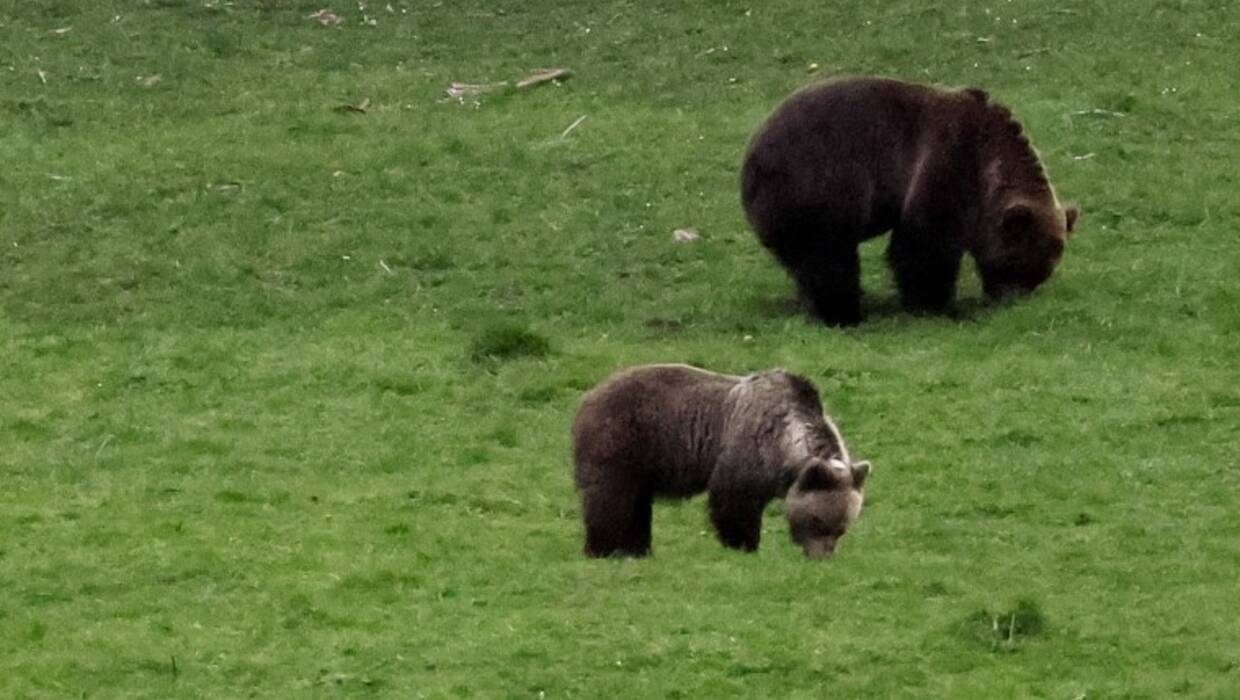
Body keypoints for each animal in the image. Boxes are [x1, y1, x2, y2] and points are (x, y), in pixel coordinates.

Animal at [570, 364, 872, 560]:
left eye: (841, 528)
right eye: (818, 521)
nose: (820, 556)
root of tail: (589, 395)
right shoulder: (748, 449)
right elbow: (733, 501)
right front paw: (744, 545)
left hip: (643, 462)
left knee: (637, 502)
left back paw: (638, 549)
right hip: (622, 439)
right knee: (610, 496)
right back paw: (603, 548)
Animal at [739, 74, 1081, 327]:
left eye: (1040, 274)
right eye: (1017, 266)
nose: (1011, 301)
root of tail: (752, 155)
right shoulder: (947, 160)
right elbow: (925, 243)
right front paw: (935, 305)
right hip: (820, 186)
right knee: (829, 256)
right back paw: (843, 313)